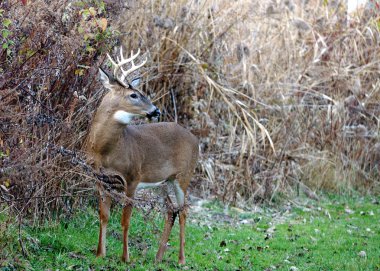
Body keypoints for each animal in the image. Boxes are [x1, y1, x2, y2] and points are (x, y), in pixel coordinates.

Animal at [86, 47, 199, 266]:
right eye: (134, 95)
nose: (156, 111)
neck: (105, 151)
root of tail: (195, 138)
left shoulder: (132, 177)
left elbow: (125, 219)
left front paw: (125, 257)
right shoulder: (100, 178)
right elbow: (104, 215)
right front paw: (100, 253)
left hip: (184, 176)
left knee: (184, 211)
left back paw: (181, 259)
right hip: (162, 181)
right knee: (170, 210)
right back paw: (158, 257)